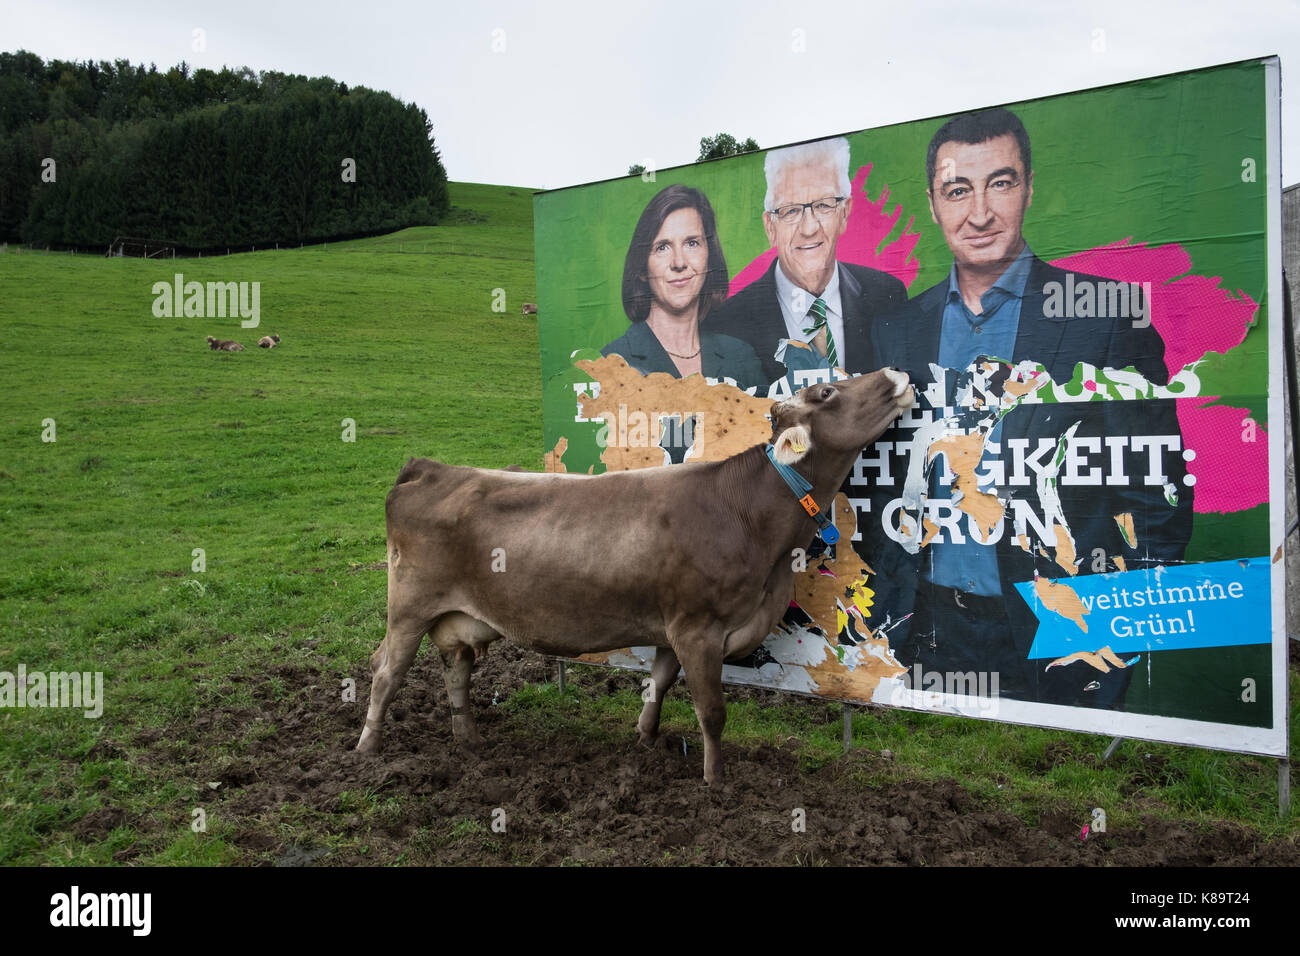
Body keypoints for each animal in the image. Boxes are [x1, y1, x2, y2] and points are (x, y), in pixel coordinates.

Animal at [356, 369, 915, 785]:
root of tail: (433, 467)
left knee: (456, 668)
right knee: (386, 670)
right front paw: (715, 780)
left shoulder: (672, 624)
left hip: (456, 617)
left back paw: (469, 740)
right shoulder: (698, 627)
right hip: (408, 608)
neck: (752, 515)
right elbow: (711, 710)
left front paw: (645, 739)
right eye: (827, 392)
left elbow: (659, 683)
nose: (897, 374)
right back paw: (368, 748)